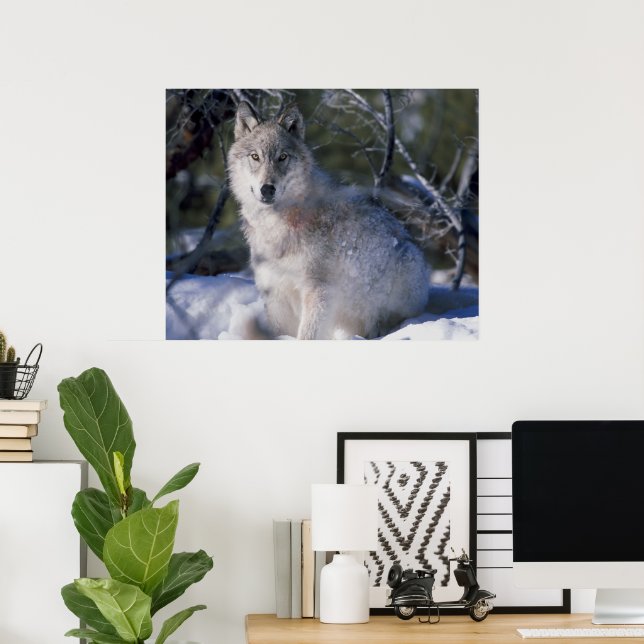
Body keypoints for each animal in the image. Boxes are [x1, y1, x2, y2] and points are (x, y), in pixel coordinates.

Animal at [228, 101, 430, 339]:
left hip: (404, 265)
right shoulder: (275, 291)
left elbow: (307, 335)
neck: (277, 225)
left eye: (282, 157)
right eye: (255, 157)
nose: (267, 189)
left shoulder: (319, 290)